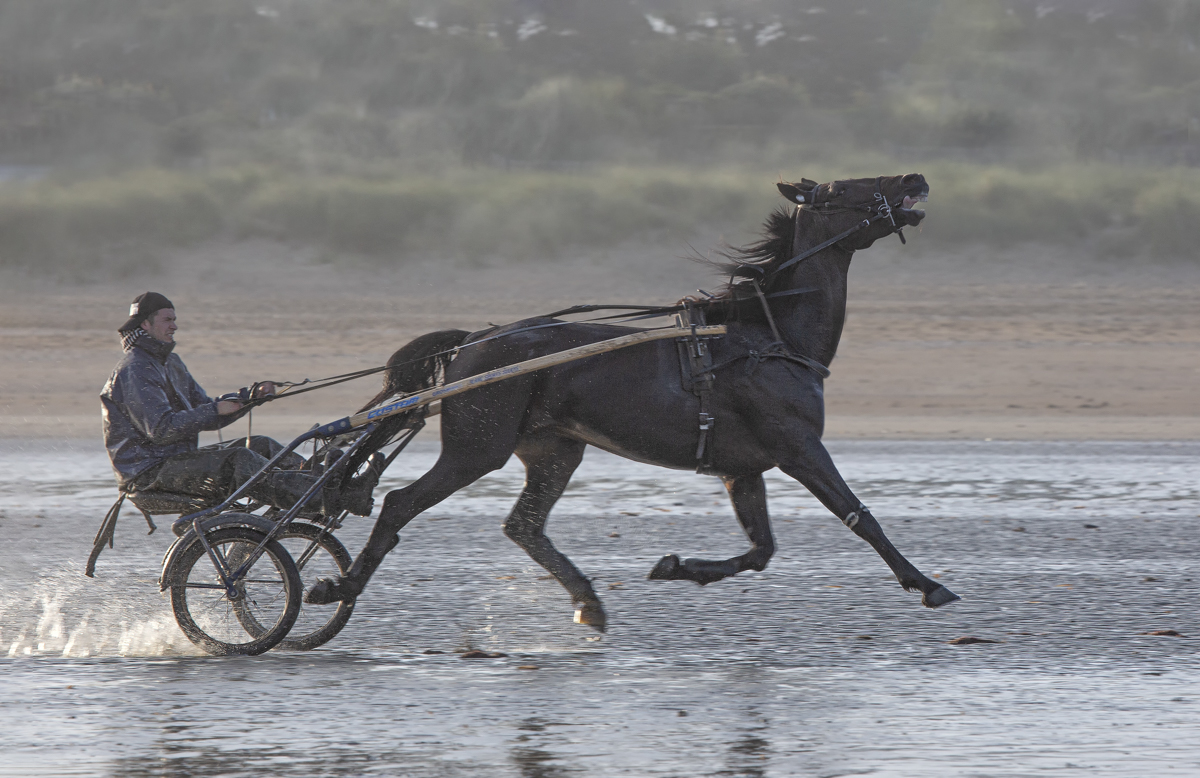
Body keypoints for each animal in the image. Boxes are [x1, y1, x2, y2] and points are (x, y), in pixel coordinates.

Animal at [304, 172, 960, 629]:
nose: (912, 177)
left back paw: (588, 602)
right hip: (477, 447)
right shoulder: (799, 446)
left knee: (524, 525)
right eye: (841, 187)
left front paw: (678, 568)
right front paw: (929, 584)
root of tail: (475, 340)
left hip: (554, 451)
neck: (769, 339)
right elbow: (860, 517)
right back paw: (338, 587)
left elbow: (760, 551)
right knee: (400, 503)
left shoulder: (743, 468)